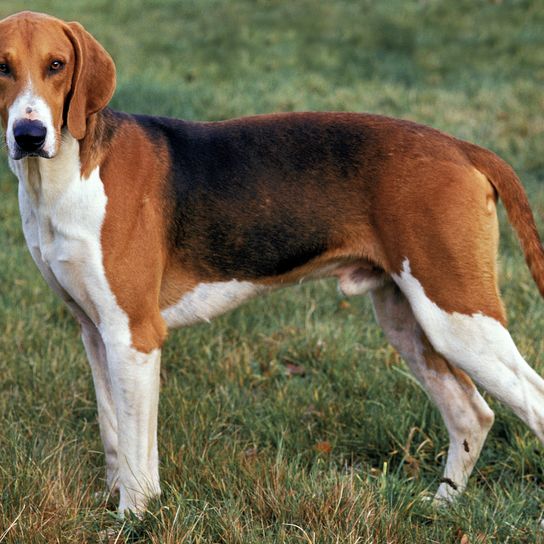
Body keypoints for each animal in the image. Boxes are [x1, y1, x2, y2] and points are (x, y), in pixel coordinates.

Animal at [1, 10, 544, 516]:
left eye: (56, 65)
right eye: (3, 67)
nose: (29, 134)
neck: (65, 175)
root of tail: (460, 147)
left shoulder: (134, 335)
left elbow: (137, 449)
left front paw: (134, 516)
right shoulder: (96, 333)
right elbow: (114, 432)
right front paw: (118, 502)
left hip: (456, 317)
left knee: (530, 403)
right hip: (411, 322)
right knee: (471, 414)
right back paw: (440, 505)